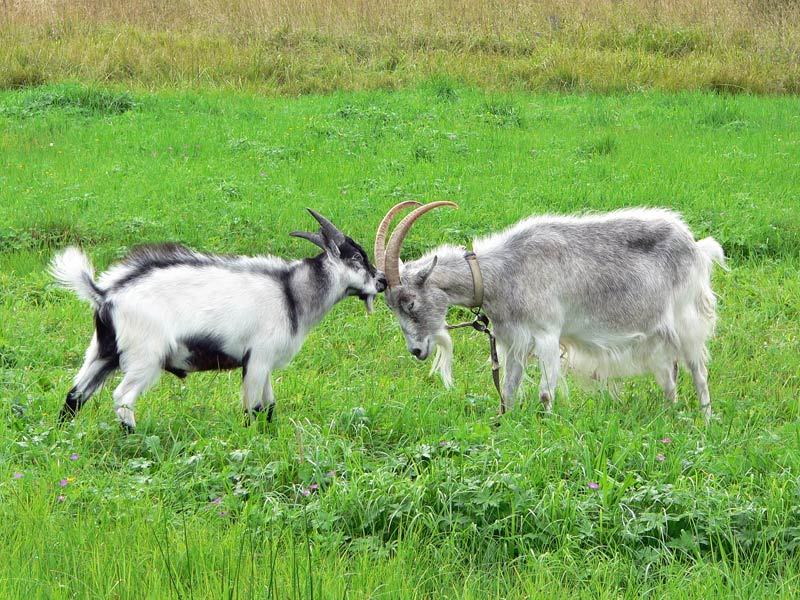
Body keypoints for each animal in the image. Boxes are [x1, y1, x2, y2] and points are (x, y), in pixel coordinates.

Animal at [51, 209, 386, 431]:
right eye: (357, 258)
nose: (382, 281)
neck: (290, 292)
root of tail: (106, 294)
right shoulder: (257, 358)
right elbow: (252, 409)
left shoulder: (265, 362)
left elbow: (270, 407)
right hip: (145, 357)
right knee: (122, 397)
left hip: (101, 352)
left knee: (75, 394)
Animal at [375, 202, 726, 422]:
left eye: (410, 303)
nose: (416, 351)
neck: (503, 272)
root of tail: (696, 246)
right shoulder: (513, 341)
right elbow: (508, 389)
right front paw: (506, 421)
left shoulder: (546, 334)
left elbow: (545, 393)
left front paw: (549, 425)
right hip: (657, 336)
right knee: (670, 378)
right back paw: (670, 414)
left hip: (687, 322)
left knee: (699, 372)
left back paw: (706, 420)